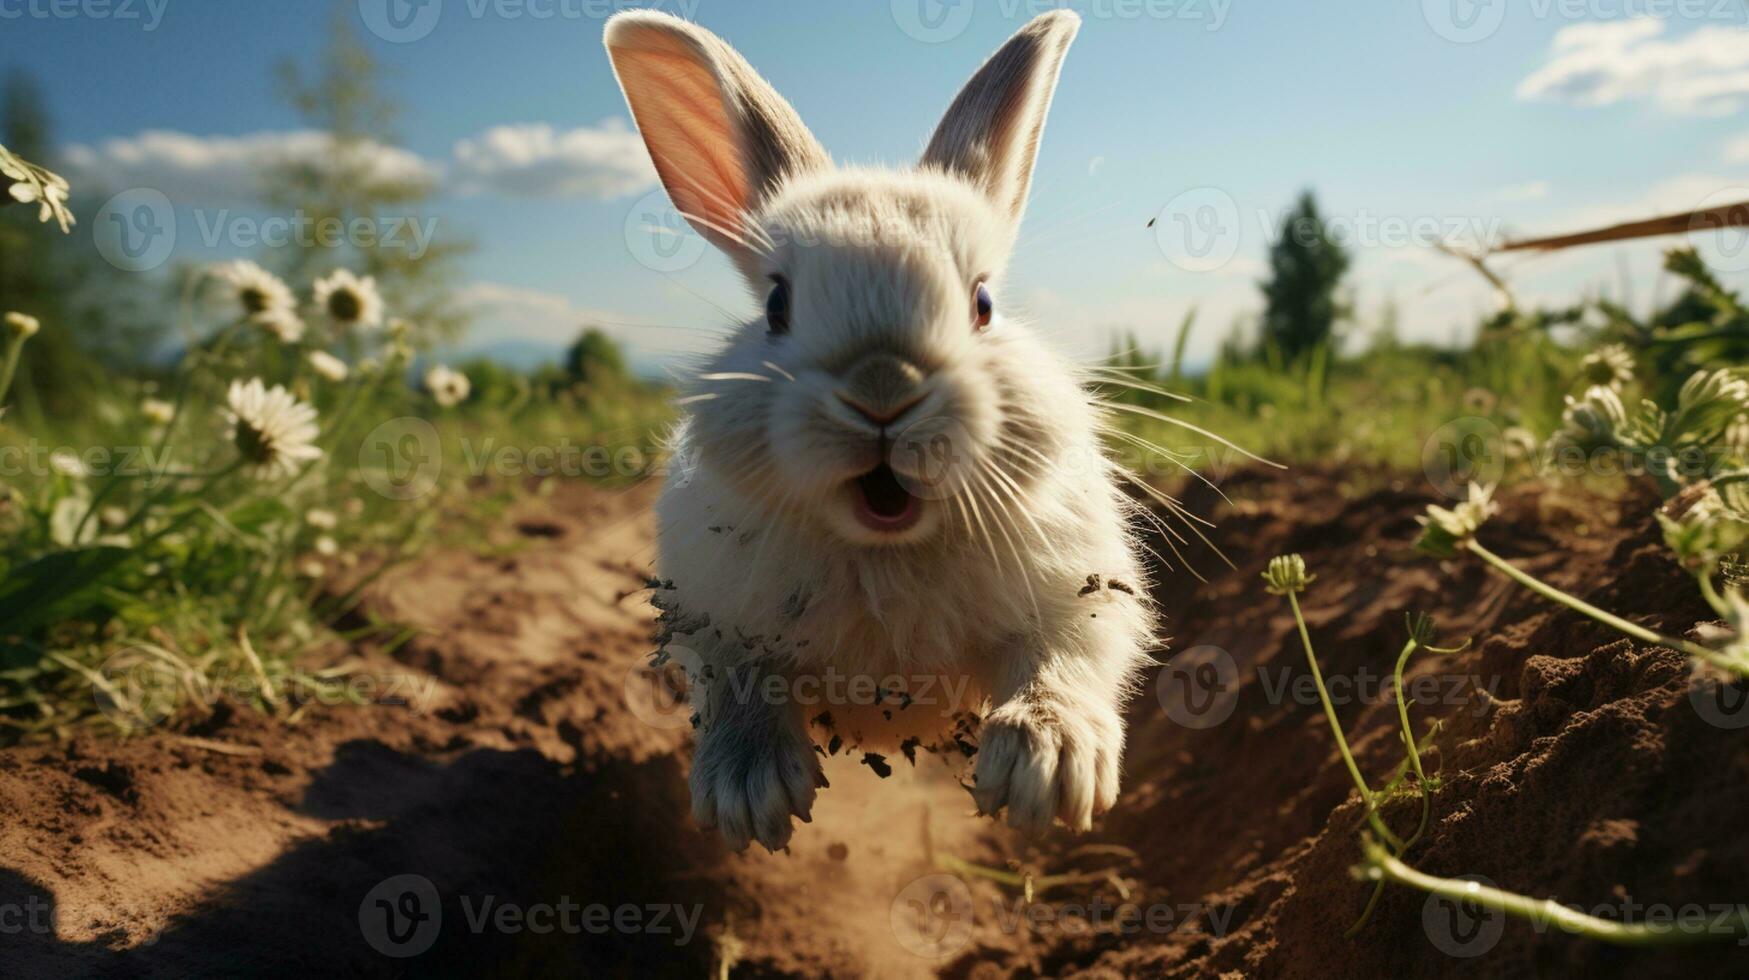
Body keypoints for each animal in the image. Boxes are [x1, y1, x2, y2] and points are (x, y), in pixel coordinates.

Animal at [608, 7, 1154, 850]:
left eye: (983, 303)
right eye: (777, 306)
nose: (883, 389)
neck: (887, 548)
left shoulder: (1077, 599)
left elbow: (1060, 663)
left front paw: (1048, 770)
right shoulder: (719, 626)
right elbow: (740, 690)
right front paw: (748, 794)